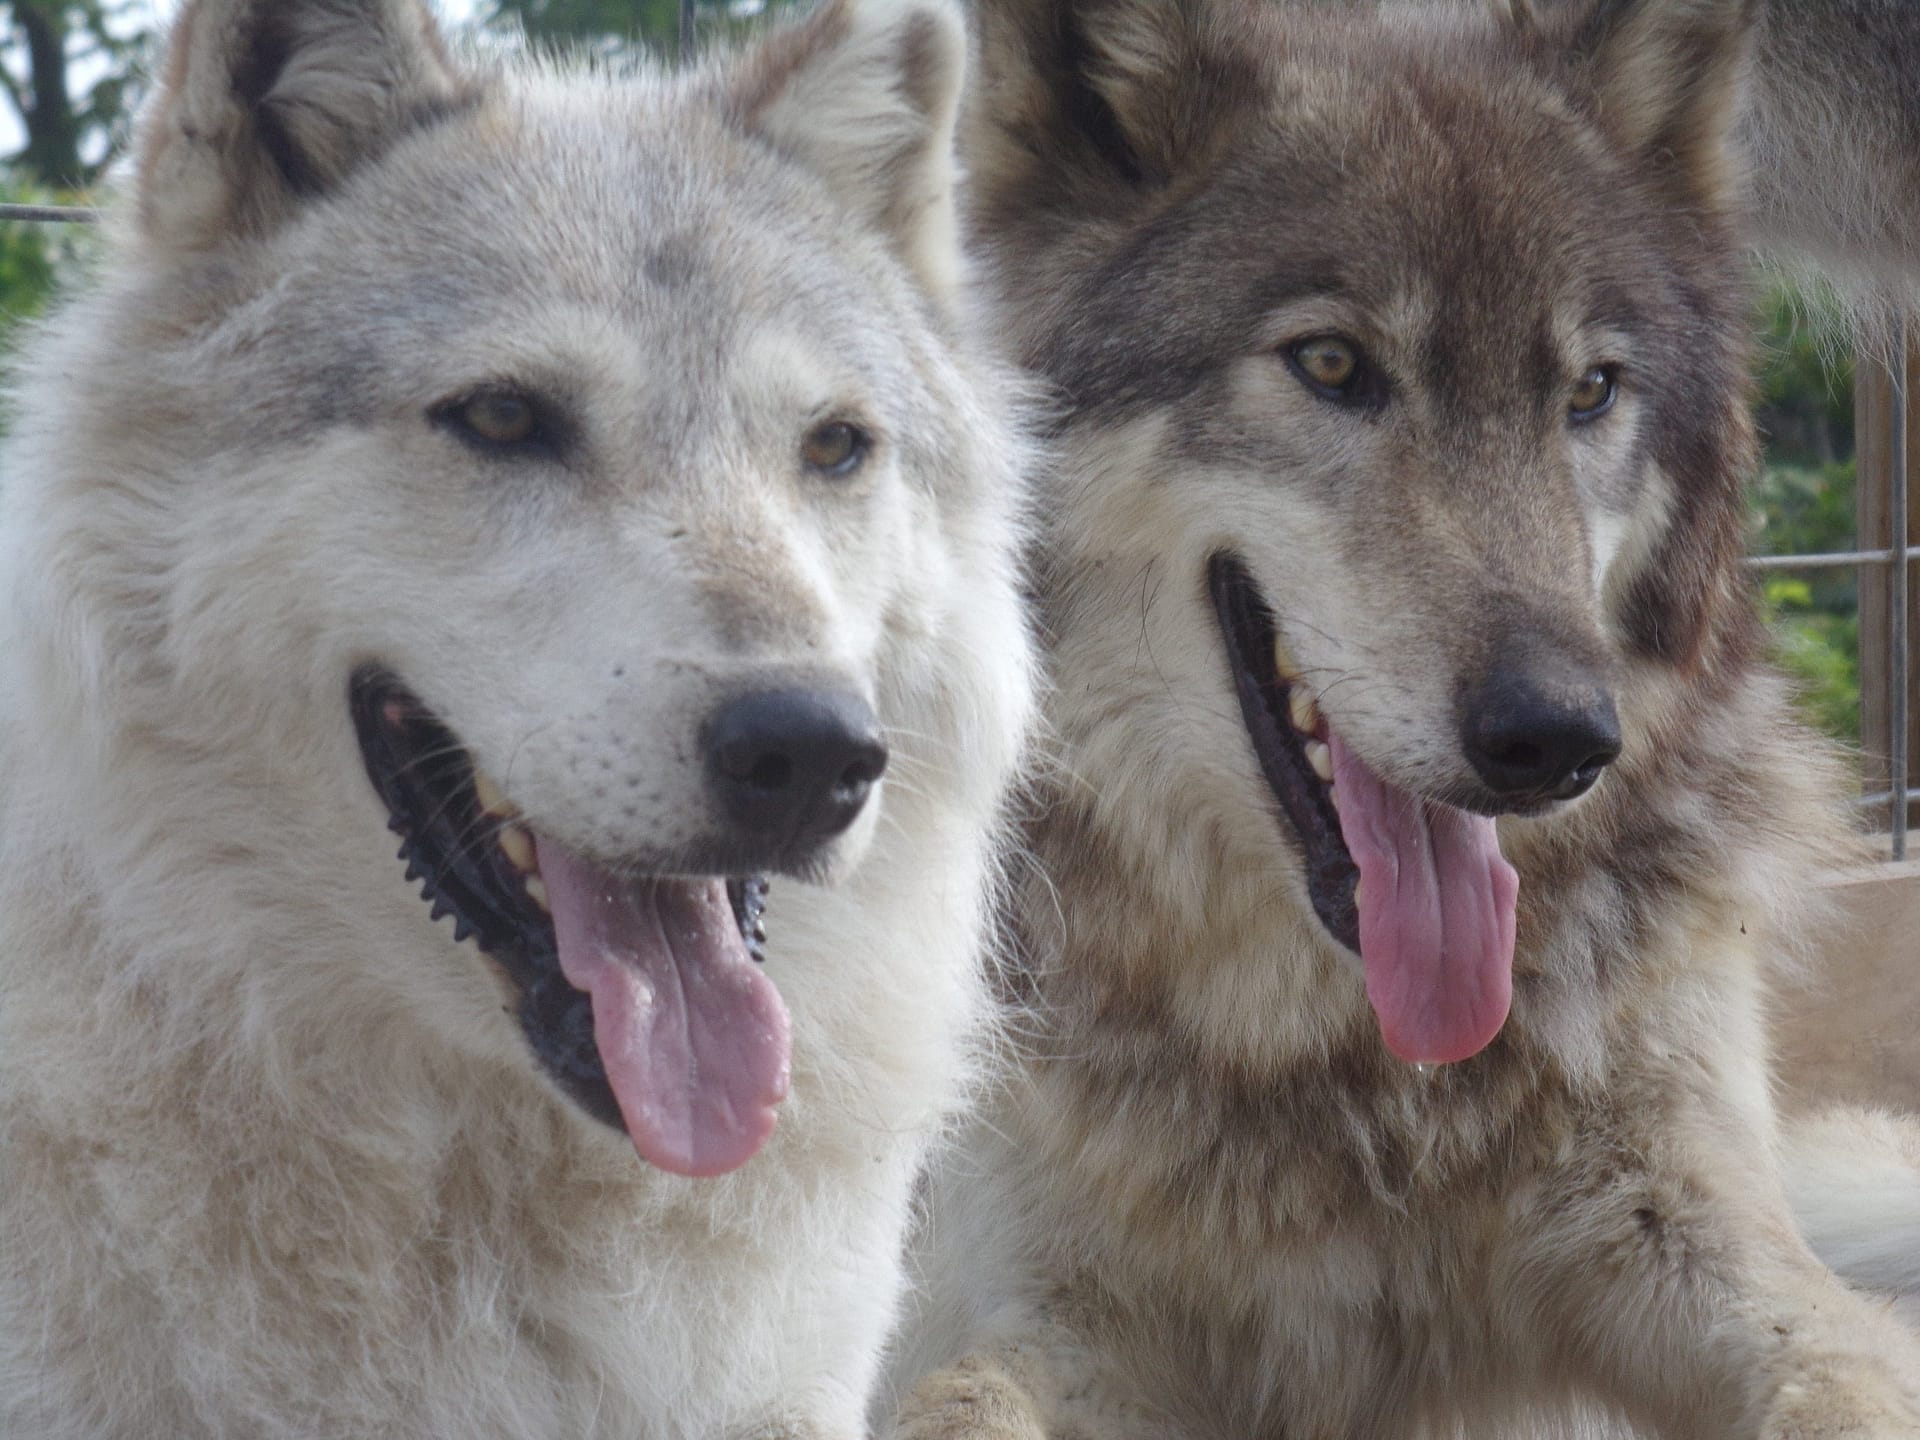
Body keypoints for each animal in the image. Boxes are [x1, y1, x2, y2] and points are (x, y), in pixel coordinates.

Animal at [887, 2, 1920, 1440]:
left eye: (1590, 391)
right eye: (1331, 364)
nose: (1557, 741)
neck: (1361, 1079)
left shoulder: (1703, 1222)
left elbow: (1838, 1373)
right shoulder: (1028, 1303)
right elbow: (955, 1399)